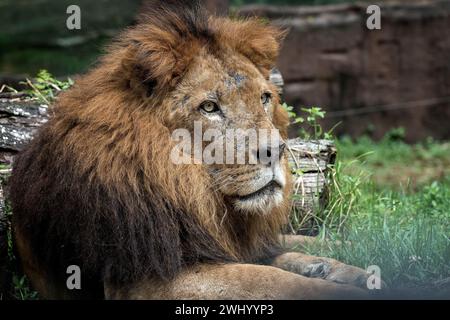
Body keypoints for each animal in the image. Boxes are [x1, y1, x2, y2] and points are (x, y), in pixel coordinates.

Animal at [8, 0, 372, 300]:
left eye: (265, 98)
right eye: (209, 107)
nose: (275, 151)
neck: (191, 189)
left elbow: (307, 248)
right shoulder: (147, 280)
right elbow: (274, 281)